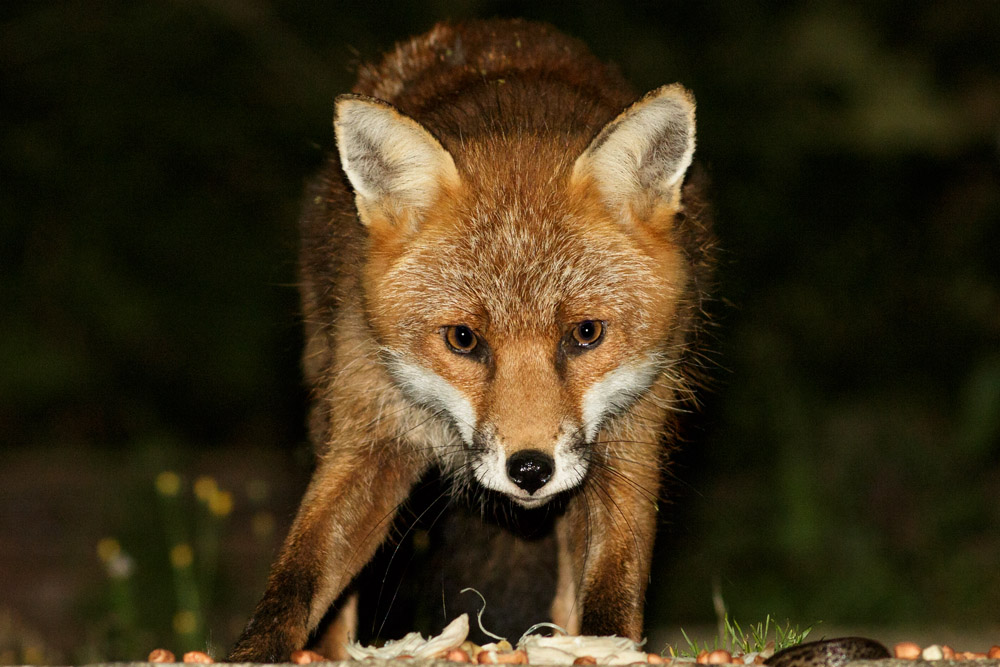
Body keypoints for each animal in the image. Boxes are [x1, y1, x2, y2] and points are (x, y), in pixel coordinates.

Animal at [229, 18, 714, 662]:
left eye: (585, 334)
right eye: (463, 339)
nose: (529, 471)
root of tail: (494, 27)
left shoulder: (631, 437)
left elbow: (612, 587)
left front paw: (604, 646)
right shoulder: (370, 423)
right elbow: (303, 571)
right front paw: (258, 651)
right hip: (324, 398)